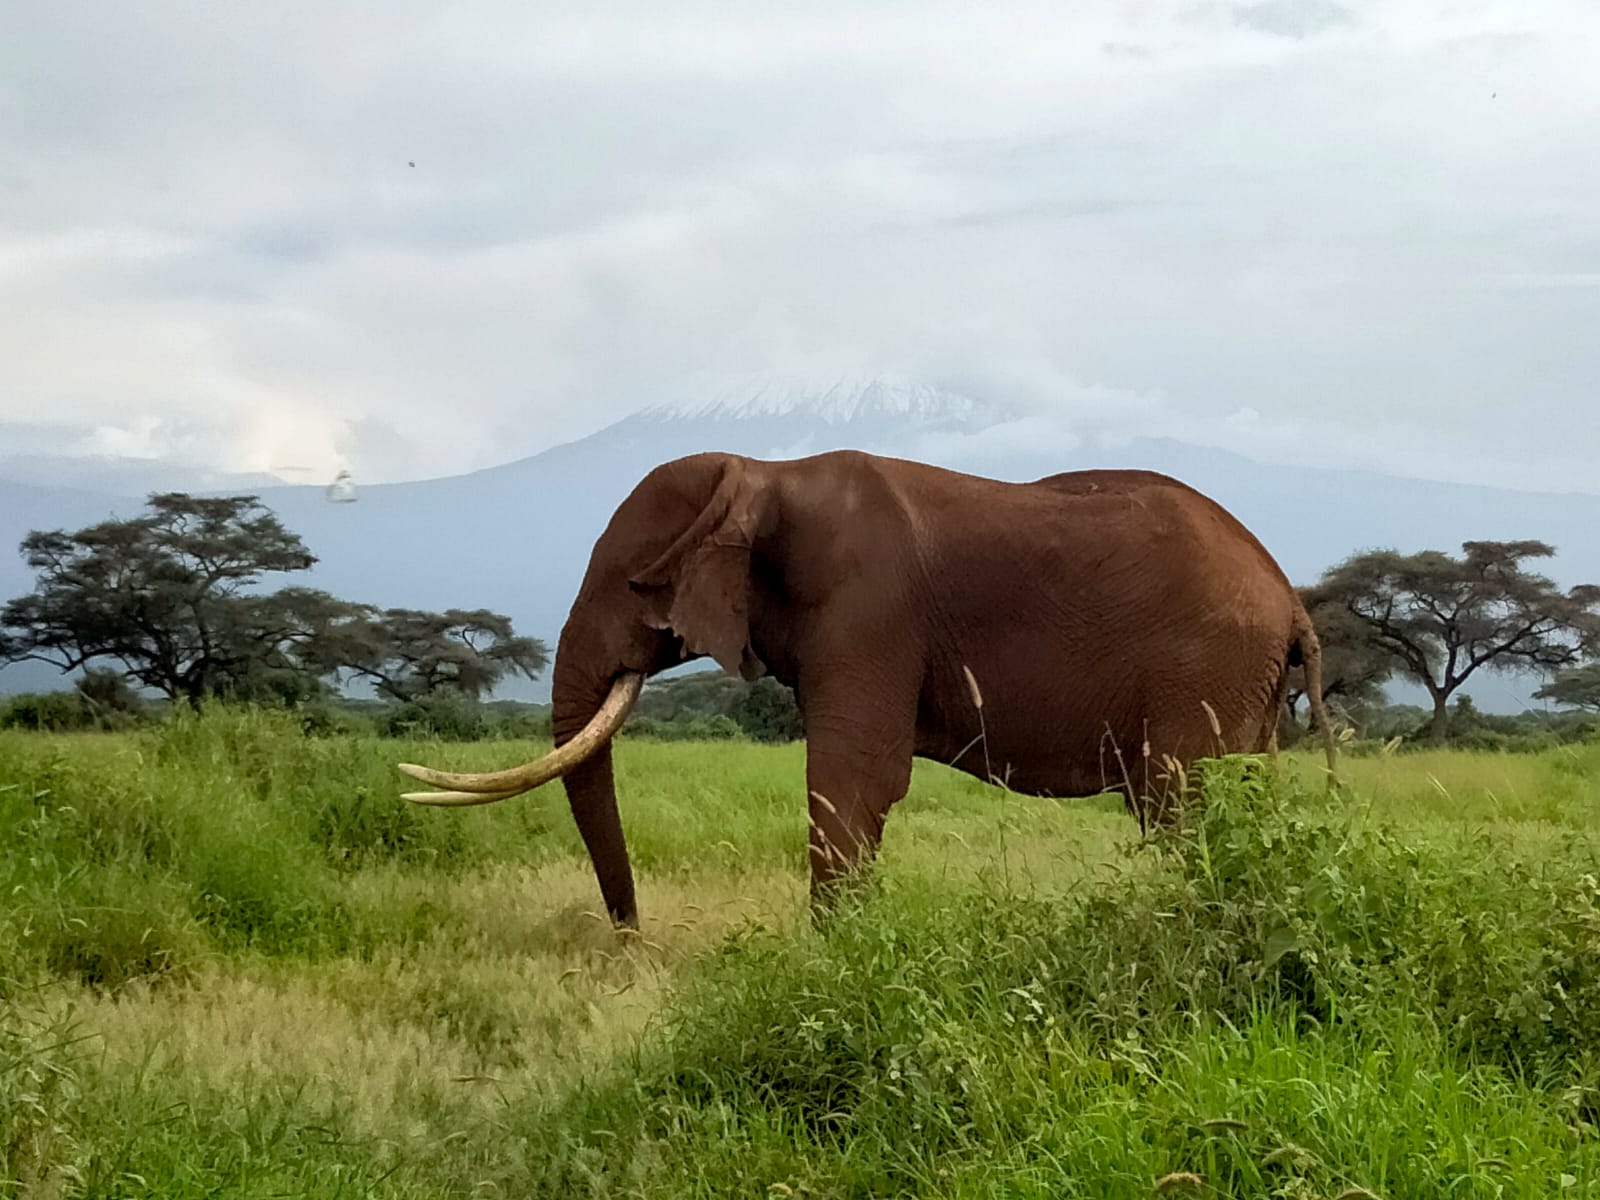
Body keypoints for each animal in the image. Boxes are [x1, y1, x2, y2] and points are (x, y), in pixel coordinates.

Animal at [400, 451, 1337, 928]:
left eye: (638, 585)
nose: (633, 940)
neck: (767, 474)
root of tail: (1289, 596)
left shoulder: (869, 609)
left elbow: (852, 785)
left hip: (1204, 668)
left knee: (1183, 806)